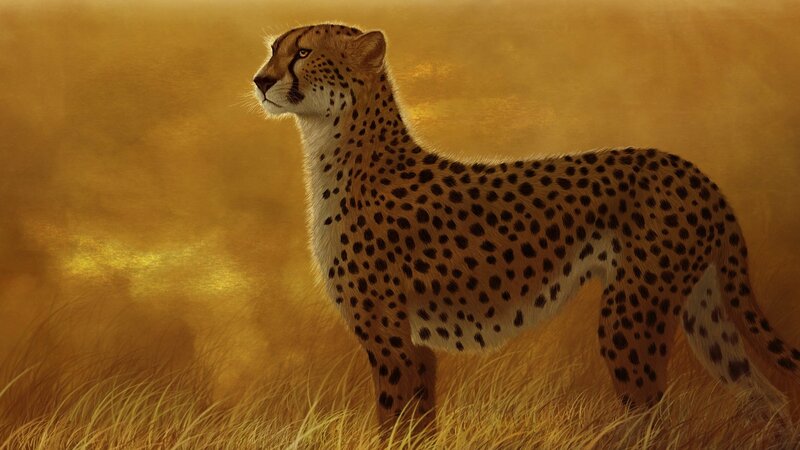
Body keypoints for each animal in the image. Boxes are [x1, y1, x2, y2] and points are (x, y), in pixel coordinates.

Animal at [252, 23, 800, 435]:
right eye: (274, 50)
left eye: (303, 52)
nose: (259, 80)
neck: (336, 145)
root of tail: (693, 170)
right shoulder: (416, 345)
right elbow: (418, 426)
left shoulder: (389, 341)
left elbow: (393, 424)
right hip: (702, 311)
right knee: (769, 399)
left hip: (630, 317)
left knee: (654, 417)